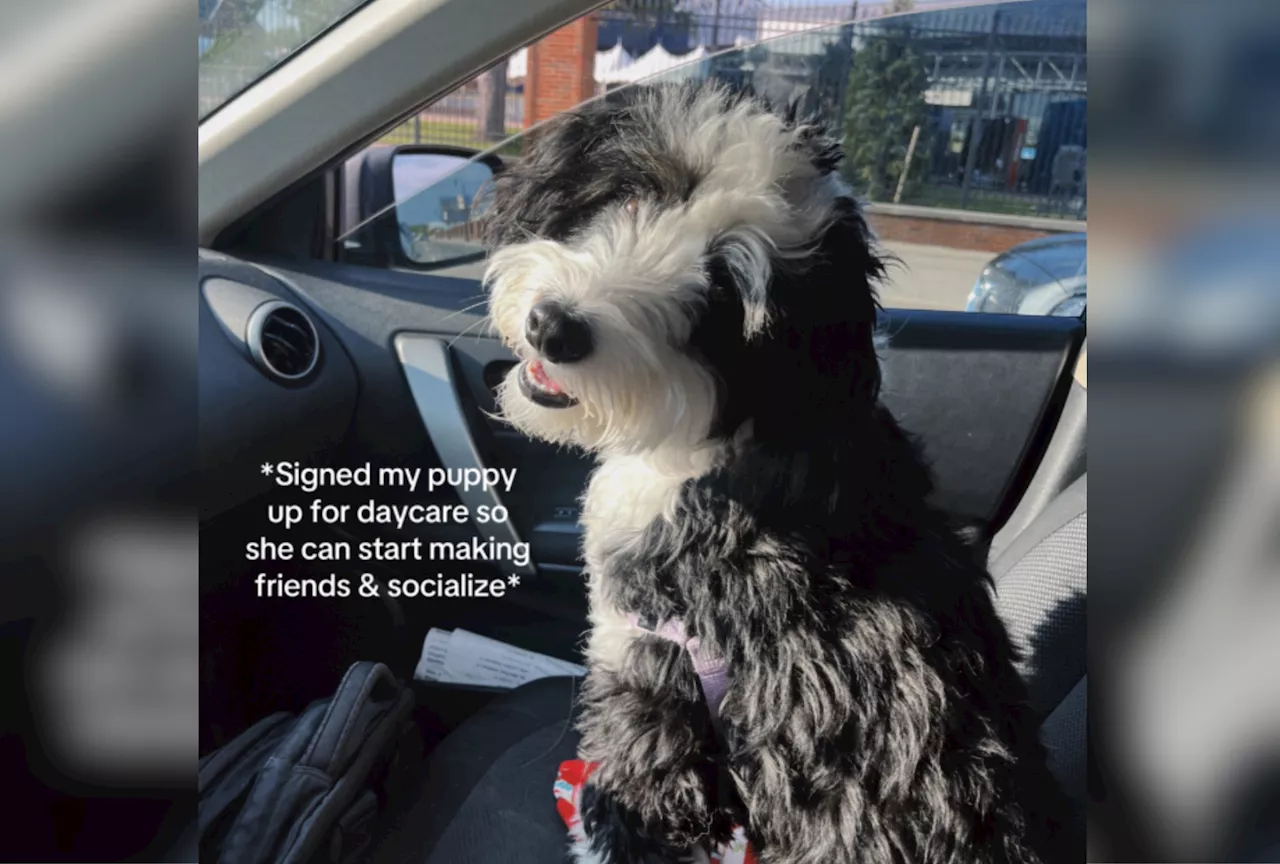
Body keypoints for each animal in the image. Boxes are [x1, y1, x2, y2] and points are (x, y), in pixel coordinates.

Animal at [483, 82, 1064, 864]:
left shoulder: (653, 686)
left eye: (722, 294)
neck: (711, 453)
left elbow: (623, 812)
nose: (556, 327)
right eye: (634, 196)